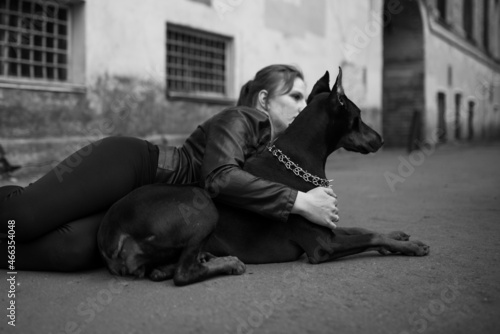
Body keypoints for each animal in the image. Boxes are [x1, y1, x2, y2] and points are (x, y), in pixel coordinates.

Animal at [97, 67, 430, 284]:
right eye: (358, 117)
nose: (381, 139)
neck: (297, 161)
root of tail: (111, 232)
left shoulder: (327, 225)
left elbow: (361, 228)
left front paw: (397, 237)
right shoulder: (322, 245)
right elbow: (368, 234)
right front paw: (412, 246)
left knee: (164, 270)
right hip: (202, 207)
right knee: (183, 273)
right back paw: (227, 263)